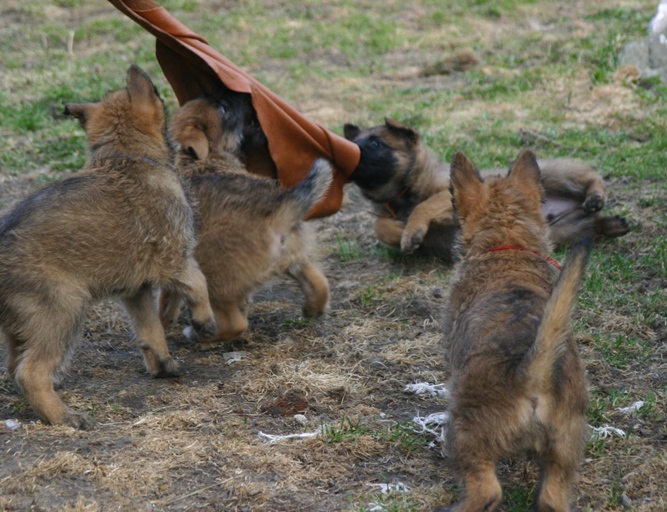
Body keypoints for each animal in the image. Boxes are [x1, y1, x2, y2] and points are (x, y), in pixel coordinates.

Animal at [0, 66, 215, 430]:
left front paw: (163, 365)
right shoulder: (175, 260)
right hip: (63, 311)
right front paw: (205, 320)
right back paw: (64, 416)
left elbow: (150, 329)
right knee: (30, 371)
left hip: (21, 324)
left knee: (15, 366)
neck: (125, 156)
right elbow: (200, 282)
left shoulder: (136, 290)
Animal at [160, 94, 332, 346]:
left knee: (236, 324)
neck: (203, 160)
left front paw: (164, 321)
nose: (241, 96)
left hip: (214, 277)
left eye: (223, 107)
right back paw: (313, 309)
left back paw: (199, 336)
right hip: (294, 258)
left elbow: (167, 296)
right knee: (319, 284)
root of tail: (276, 208)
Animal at [344, 118, 632, 262]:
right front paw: (398, 232)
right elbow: (379, 227)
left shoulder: (448, 197)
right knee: (589, 226)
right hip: (563, 231)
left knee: (589, 175)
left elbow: (423, 206)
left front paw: (410, 232)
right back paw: (610, 224)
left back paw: (595, 197)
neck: (400, 193)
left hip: (553, 175)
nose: (347, 155)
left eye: (375, 143)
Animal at [440, 150, 592, 510]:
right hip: (565, 449)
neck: (509, 246)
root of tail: (532, 375)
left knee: (486, 491)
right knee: (552, 497)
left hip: (465, 434)